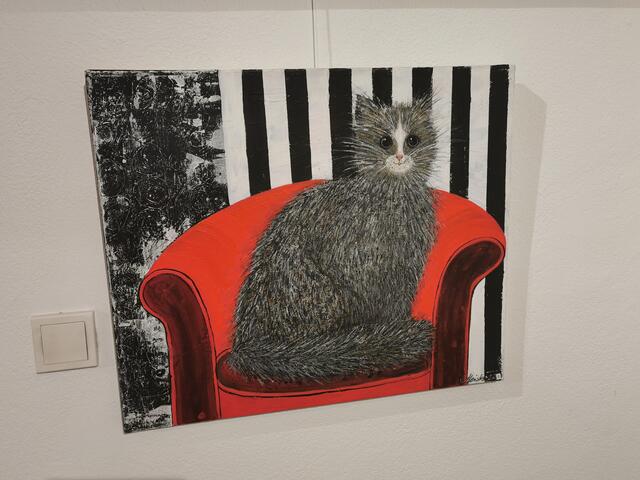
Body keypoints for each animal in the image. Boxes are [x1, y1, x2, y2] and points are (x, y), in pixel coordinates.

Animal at [227, 94, 439, 384]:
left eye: (413, 140)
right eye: (385, 141)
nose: (399, 156)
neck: (393, 198)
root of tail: (247, 344)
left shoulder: (405, 271)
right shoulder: (362, 268)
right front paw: (386, 339)